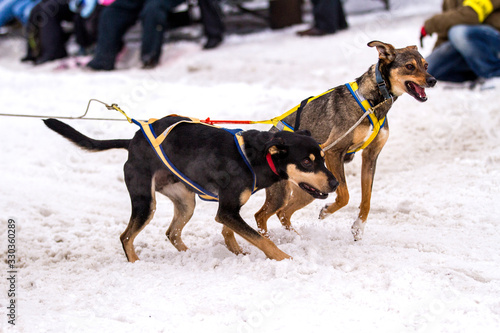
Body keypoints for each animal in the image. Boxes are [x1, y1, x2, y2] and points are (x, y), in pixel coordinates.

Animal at [45, 115, 338, 260]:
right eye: (306, 162)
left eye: (322, 158)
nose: (335, 182)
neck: (253, 156)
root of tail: (132, 142)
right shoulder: (228, 209)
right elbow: (260, 239)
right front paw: (284, 258)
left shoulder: (229, 209)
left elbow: (233, 231)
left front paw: (237, 251)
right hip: (145, 202)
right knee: (126, 236)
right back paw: (136, 263)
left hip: (186, 202)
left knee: (171, 233)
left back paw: (189, 255)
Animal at [256, 40, 436, 239]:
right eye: (410, 66)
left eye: (426, 65)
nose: (432, 80)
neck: (372, 102)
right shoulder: (334, 152)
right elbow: (345, 195)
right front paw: (327, 211)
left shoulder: (370, 156)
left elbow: (367, 198)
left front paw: (359, 226)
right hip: (283, 192)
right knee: (262, 215)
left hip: (310, 189)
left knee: (283, 213)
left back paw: (297, 238)